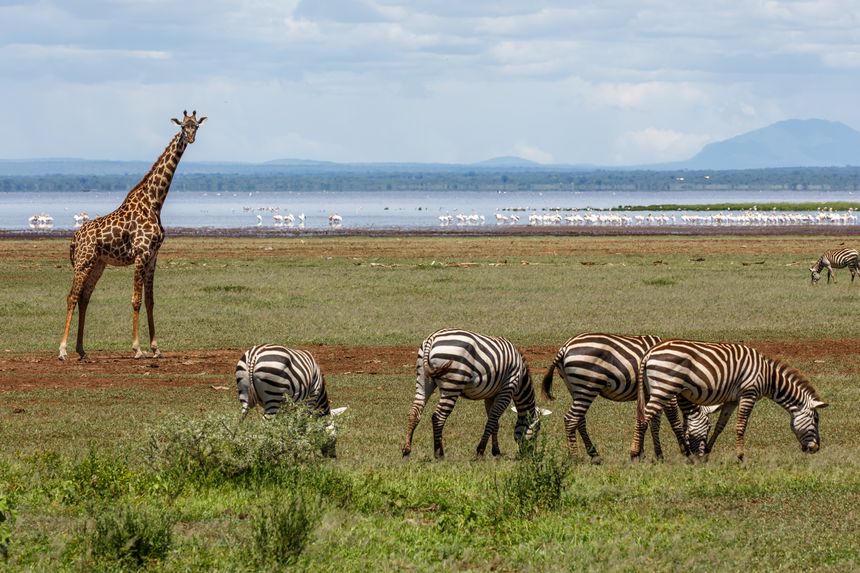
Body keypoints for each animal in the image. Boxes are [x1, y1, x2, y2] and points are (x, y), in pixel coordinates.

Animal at [58, 110, 207, 360]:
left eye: (195, 125)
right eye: (182, 126)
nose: (191, 138)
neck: (155, 202)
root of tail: (75, 238)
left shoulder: (153, 256)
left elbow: (150, 301)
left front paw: (155, 348)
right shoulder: (140, 254)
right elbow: (136, 300)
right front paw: (137, 348)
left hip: (98, 264)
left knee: (85, 296)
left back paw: (82, 350)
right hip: (83, 261)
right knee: (72, 297)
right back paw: (62, 350)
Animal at [402, 328, 544, 458]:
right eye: (537, 429)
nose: (529, 455)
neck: (521, 380)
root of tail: (432, 338)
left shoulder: (491, 395)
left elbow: (495, 423)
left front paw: (496, 451)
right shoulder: (507, 390)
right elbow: (492, 420)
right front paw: (480, 451)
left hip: (423, 380)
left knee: (414, 412)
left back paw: (406, 451)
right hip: (453, 385)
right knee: (438, 417)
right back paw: (439, 453)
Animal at [544, 332, 712, 462]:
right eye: (709, 427)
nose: (704, 456)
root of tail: (566, 346)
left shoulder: (650, 394)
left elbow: (652, 423)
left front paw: (651, 455)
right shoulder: (666, 392)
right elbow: (674, 422)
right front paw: (686, 453)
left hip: (575, 388)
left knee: (579, 420)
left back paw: (594, 455)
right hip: (588, 386)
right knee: (571, 419)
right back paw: (575, 457)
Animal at [632, 340, 828, 460]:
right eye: (816, 419)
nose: (816, 449)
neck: (768, 377)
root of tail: (649, 353)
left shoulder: (731, 400)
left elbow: (721, 425)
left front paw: (707, 451)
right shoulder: (749, 394)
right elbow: (741, 425)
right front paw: (741, 456)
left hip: (653, 390)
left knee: (645, 417)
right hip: (664, 388)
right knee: (643, 419)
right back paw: (634, 454)